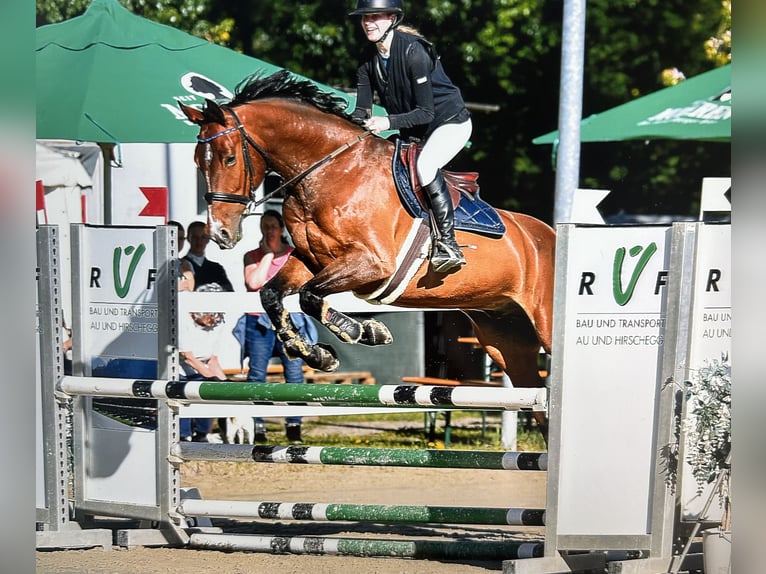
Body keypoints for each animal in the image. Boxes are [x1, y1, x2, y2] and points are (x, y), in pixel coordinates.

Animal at [183, 70, 560, 432]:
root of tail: (552, 235)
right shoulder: (309, 261)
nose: (220, 233)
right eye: (198, 163)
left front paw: (360, 331)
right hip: (504, 338)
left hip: (545, 326)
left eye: (229, 158)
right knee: (539, 404)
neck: (326, 172)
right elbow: (272, 296)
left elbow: (309, 297)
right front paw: (313, 352)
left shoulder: (371, 264)